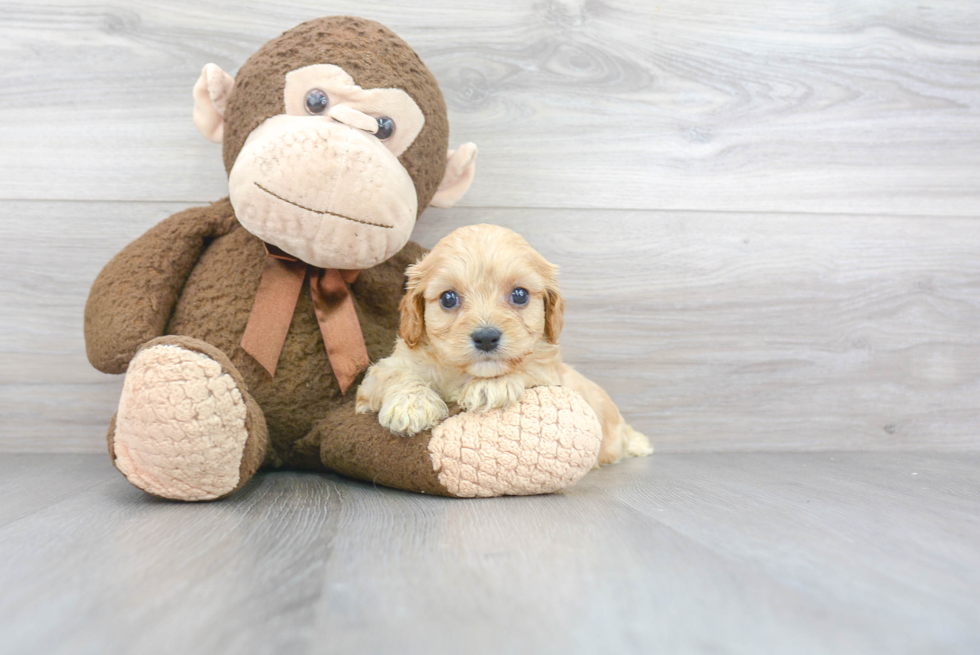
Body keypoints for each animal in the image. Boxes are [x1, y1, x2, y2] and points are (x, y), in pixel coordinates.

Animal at [356, 226, 656, 466]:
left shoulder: (550, 375)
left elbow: (529, 369)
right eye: (448, 298)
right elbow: (395, 373)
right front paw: (411, 404)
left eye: (520, 295)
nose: (486, 337)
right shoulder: (381, 374)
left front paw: (492, 386)